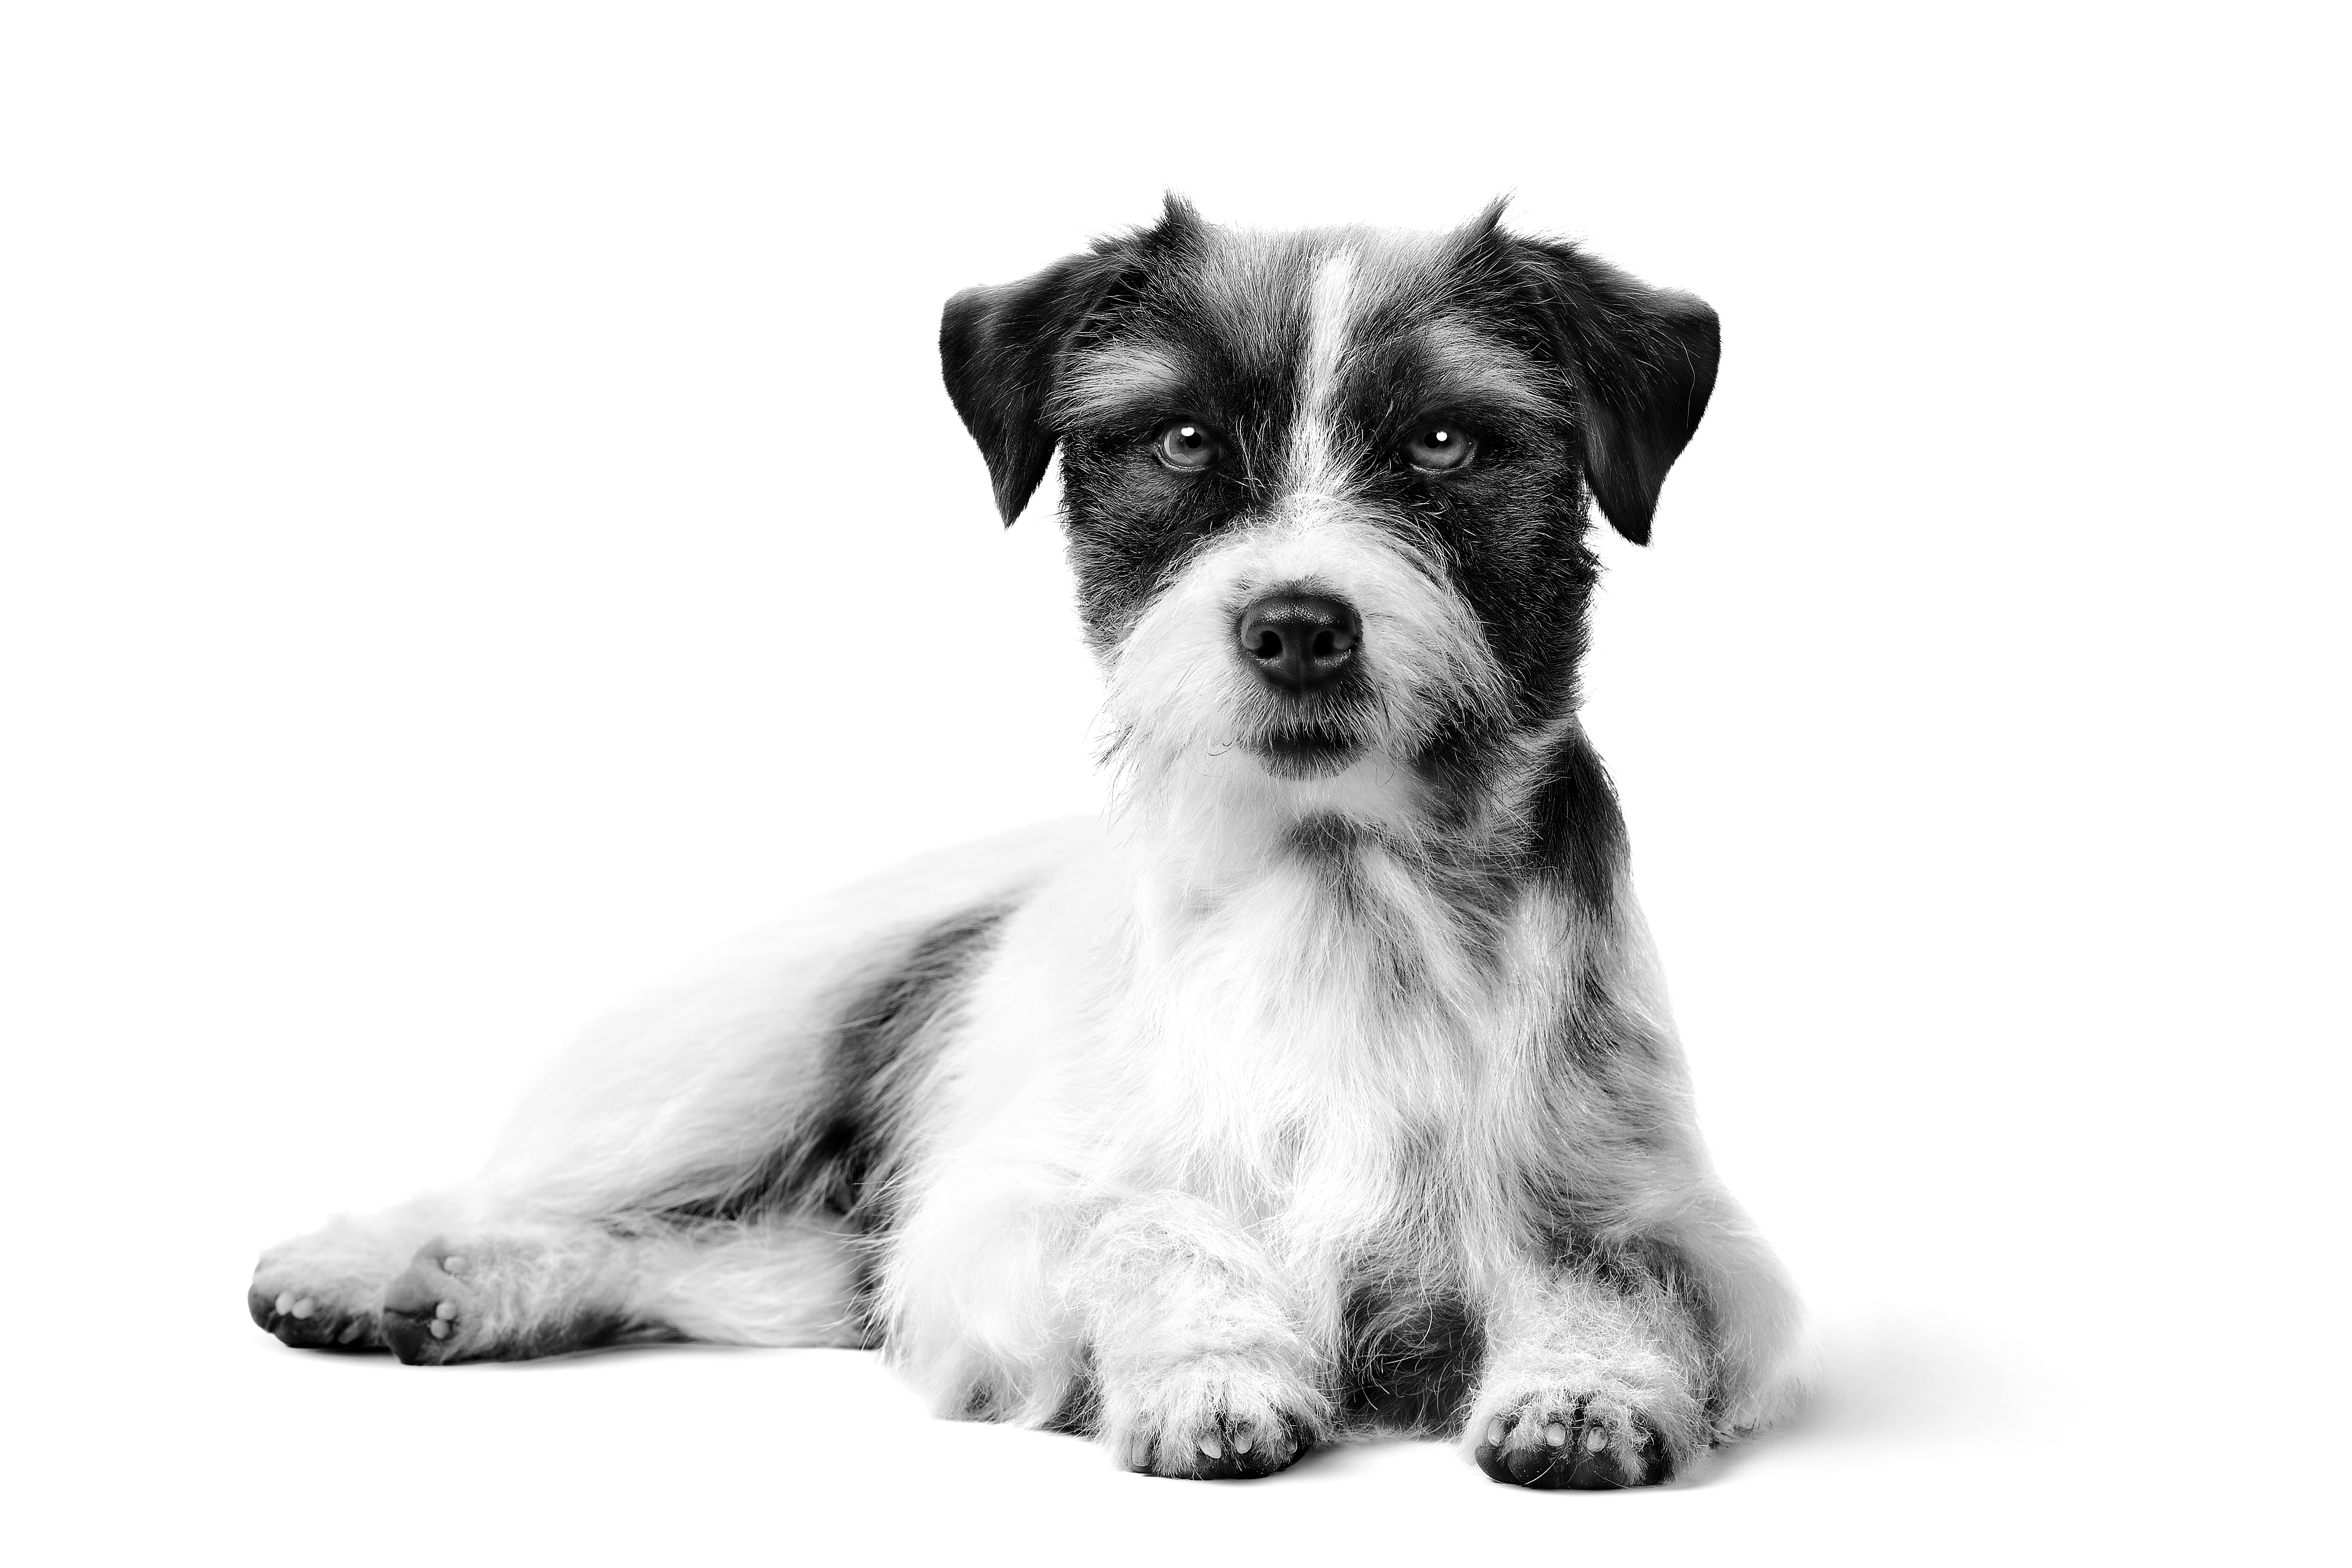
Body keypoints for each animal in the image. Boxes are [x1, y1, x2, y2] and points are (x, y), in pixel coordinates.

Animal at [253, 202, 1797, 1495]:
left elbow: (1614, 1270)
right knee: (524, 1189)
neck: (1335, 888)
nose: (1298, 626)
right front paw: (1212, 1372)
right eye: (1181, 442)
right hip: (727, 1065)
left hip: (794, 1239)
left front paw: (1583, 1388)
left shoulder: (1655, 1212)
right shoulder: (995, 1222)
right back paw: (362, 1267)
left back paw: (469, 1295)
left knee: (698, 1256)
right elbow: (1148, 1228)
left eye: (1442, 444)